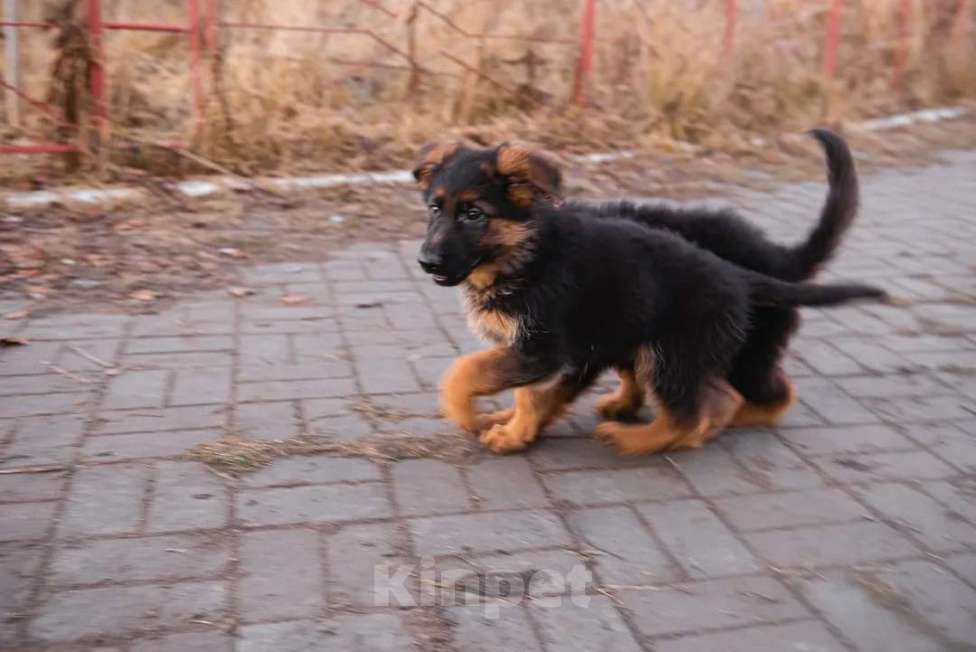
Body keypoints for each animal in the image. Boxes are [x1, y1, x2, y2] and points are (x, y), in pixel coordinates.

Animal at [412, 139, 884, 454]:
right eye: (435, 209)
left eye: (474, 214)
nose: (426, 262)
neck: (526, 252)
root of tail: (752, 269)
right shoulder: (573, 350)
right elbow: (533, 394)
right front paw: (513, 427)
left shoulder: (544, 346)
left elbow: (467, 374)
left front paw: (478, 419)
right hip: (663, 342)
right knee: (711, 396)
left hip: (678, 352)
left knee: (709, 407)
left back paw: (638, 438)